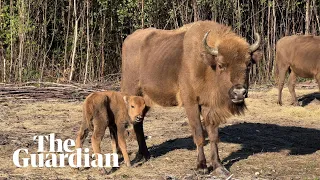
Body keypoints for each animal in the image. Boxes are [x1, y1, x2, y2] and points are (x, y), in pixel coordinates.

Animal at [121, 20, 262, 176]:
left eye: (248, 64)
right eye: (221, 65)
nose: (239, 92)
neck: (206, 65)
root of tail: (128, 40)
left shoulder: (208, 106)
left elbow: (213, 136)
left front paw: (218, 166)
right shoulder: (191, 103)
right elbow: (199, 134)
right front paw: (202, 167)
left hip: (145, 101)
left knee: (138, 122)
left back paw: (145, 154)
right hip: (131, 93)